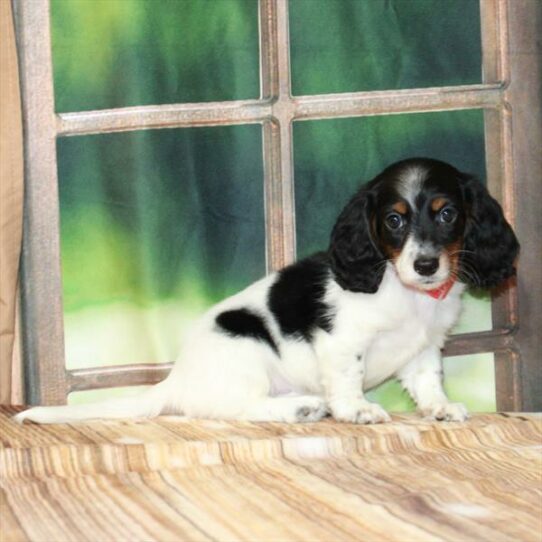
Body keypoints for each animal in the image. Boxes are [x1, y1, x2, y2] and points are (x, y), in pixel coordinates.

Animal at [15, 157, 520, 424]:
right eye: (394, 220)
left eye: (447, 213)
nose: (426, 264)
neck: (407, 292)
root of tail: (177, 380)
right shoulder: (343, 342)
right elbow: (348, 378)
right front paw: (357, 410)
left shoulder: (424, 348)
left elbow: (428, 381)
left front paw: (440, 408)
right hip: (246, 350)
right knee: (233, 408)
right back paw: (301, 408)